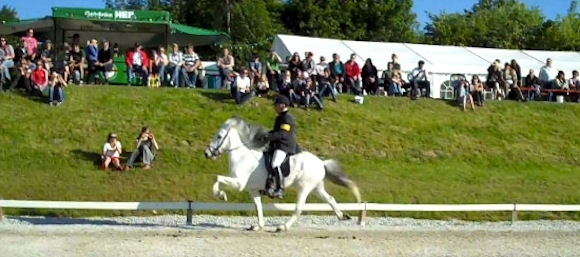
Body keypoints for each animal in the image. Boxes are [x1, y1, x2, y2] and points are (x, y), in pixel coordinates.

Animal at [204, 115, 362, 231]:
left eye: (219, 136)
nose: (207, 154)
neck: (242, 155)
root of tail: (321, 163)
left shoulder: (238, 183)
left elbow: (217, 178)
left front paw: (221, 195)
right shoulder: (252, 189)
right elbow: (258, 207)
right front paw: (258, 226)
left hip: (304, 188)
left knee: (299, 208)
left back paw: (283, 227)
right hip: (316, 188)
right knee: (330, 199)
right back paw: (342, 216)